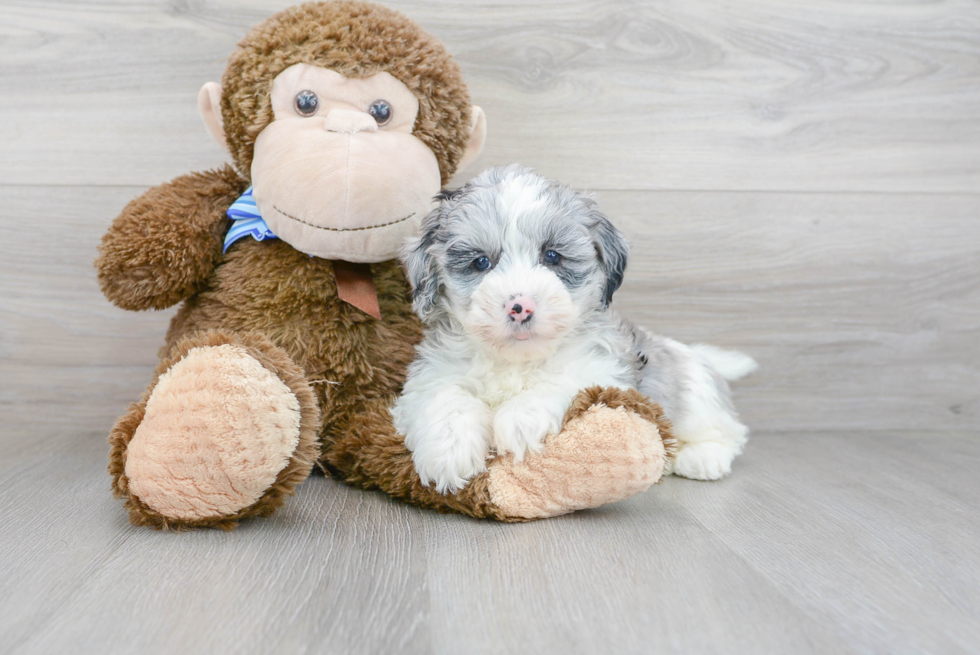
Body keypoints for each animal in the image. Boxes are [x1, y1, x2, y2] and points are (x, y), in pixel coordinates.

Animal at [392, 164, 756, 492]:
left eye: (553, 256)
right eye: (481, 262)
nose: (520, 307)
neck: (516, 360)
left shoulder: (603, 371)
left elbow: (563, 381)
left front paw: (519, 418)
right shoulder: (432, 375)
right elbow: (445, 398)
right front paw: (448, 452)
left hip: (695, 401)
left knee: (728, 431)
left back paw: (702, 458)